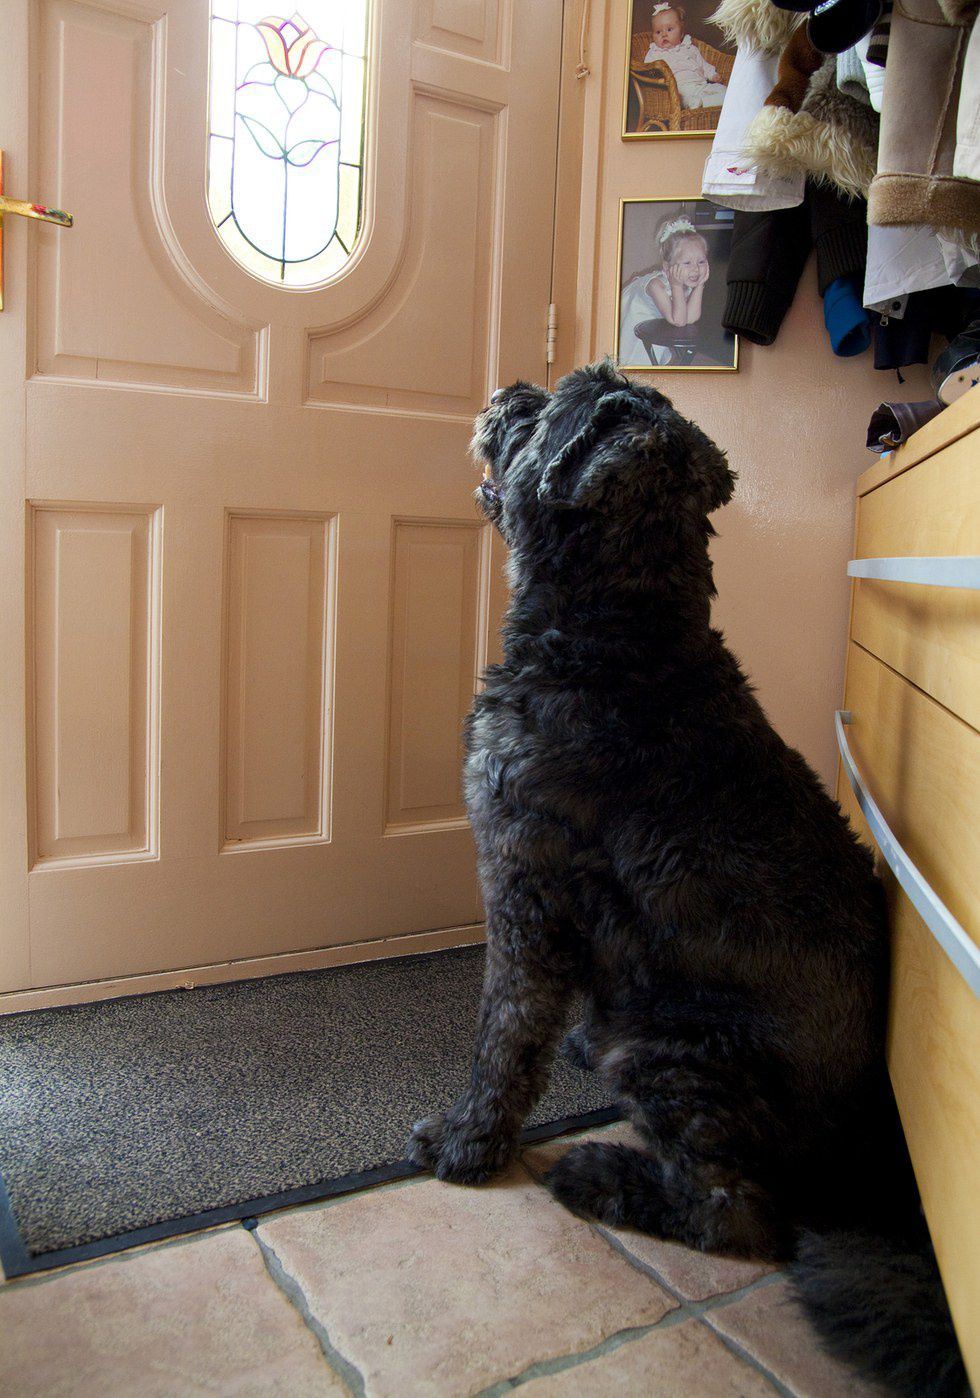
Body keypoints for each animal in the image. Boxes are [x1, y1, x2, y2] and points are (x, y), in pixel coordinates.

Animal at [407, 362, 965, 1396]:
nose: (510, 387)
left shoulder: (522, 883)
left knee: (736, 1214)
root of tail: (871, 1162)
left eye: (553, 406)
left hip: (684, 1054)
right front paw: (571, 1049)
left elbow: (504, 1034)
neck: (621, 639)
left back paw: (601, 1178)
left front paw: (468, 1144)